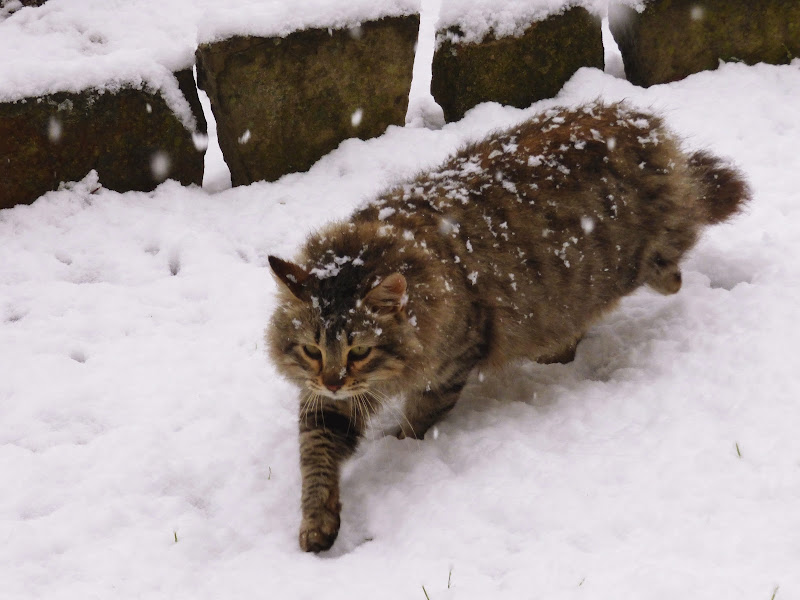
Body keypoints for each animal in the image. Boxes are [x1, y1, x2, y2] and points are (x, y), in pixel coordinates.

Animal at [268, 101, 752, 552]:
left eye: (360, 351)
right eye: (312, 350)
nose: (332, 380)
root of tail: (643, 123)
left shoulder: (449, 367)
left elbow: (417, 422)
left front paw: (400, 446)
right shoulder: (325, 403)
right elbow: (317, 459)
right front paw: (317, 522)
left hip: (638, 262)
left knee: (680, 247)